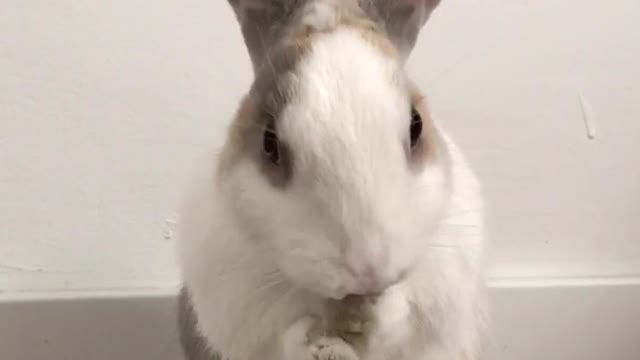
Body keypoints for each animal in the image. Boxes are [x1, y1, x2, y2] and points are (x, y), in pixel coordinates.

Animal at [178, 0, 488, 360]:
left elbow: (404, 321)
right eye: (269, 142)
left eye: (417, 125)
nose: (366, 273)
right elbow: (282, 337)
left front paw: (378, 317)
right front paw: (319, 346)